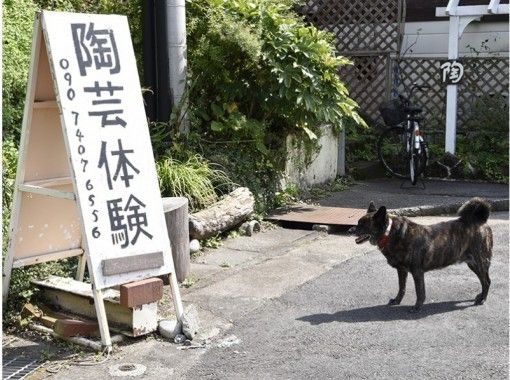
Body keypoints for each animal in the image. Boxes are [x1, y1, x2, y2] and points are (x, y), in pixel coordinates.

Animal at [348, 199, 492, 312]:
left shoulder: (417, 272)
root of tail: (480, 221)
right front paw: (397, 300)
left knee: (486, 281)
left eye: (363, 224)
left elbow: (420, 292)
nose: (349, 230)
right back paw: (480, 296)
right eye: (358, 222)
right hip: (473, 264)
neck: (389, 234)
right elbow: (401, 288)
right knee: (485, 281)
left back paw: (482, 299)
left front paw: (417, 307)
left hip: (479, 262)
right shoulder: (402, 271)